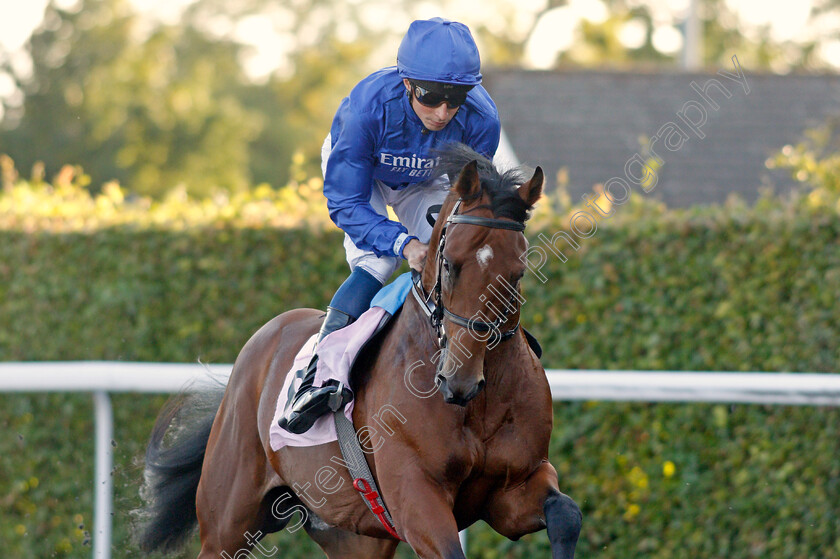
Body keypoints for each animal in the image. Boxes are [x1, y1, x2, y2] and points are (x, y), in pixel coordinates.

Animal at [135, 145, 580, 559]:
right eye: (450, 265)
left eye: (517, 274)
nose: (460, 380)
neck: (474, 407)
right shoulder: (415, 497)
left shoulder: (513, 488)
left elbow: (567, 515)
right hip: (227, 522)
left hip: (356, 534)